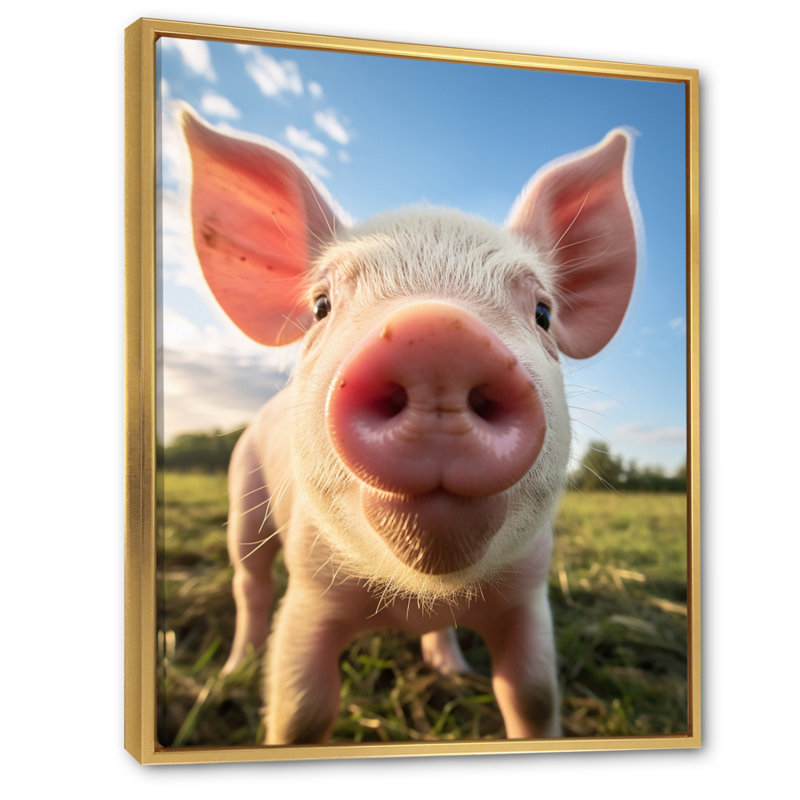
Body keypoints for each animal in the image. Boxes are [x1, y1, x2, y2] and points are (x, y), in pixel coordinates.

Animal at [180, 106, 638, 745]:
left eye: (544, 313)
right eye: (320, 306)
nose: (439, 335)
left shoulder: (528, 591)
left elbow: (532, 696)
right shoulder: (311, 587)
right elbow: (301, 709)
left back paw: (452, 671)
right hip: (243, 494)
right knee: (249, 584)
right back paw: (233, 670)